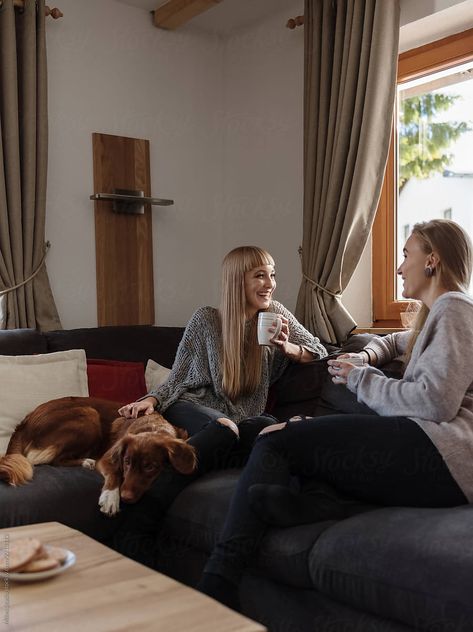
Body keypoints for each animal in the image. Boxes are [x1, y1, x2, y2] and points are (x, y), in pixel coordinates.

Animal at [0, 398, 197, 516]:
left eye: (150, 467)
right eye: (126, 462)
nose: (125, 497)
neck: (151, 426)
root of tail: (25, 423)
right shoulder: (108, 457)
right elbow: (115, 474)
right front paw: (110, 498)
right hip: (89, 414)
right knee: (52, 459)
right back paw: (87, 461)